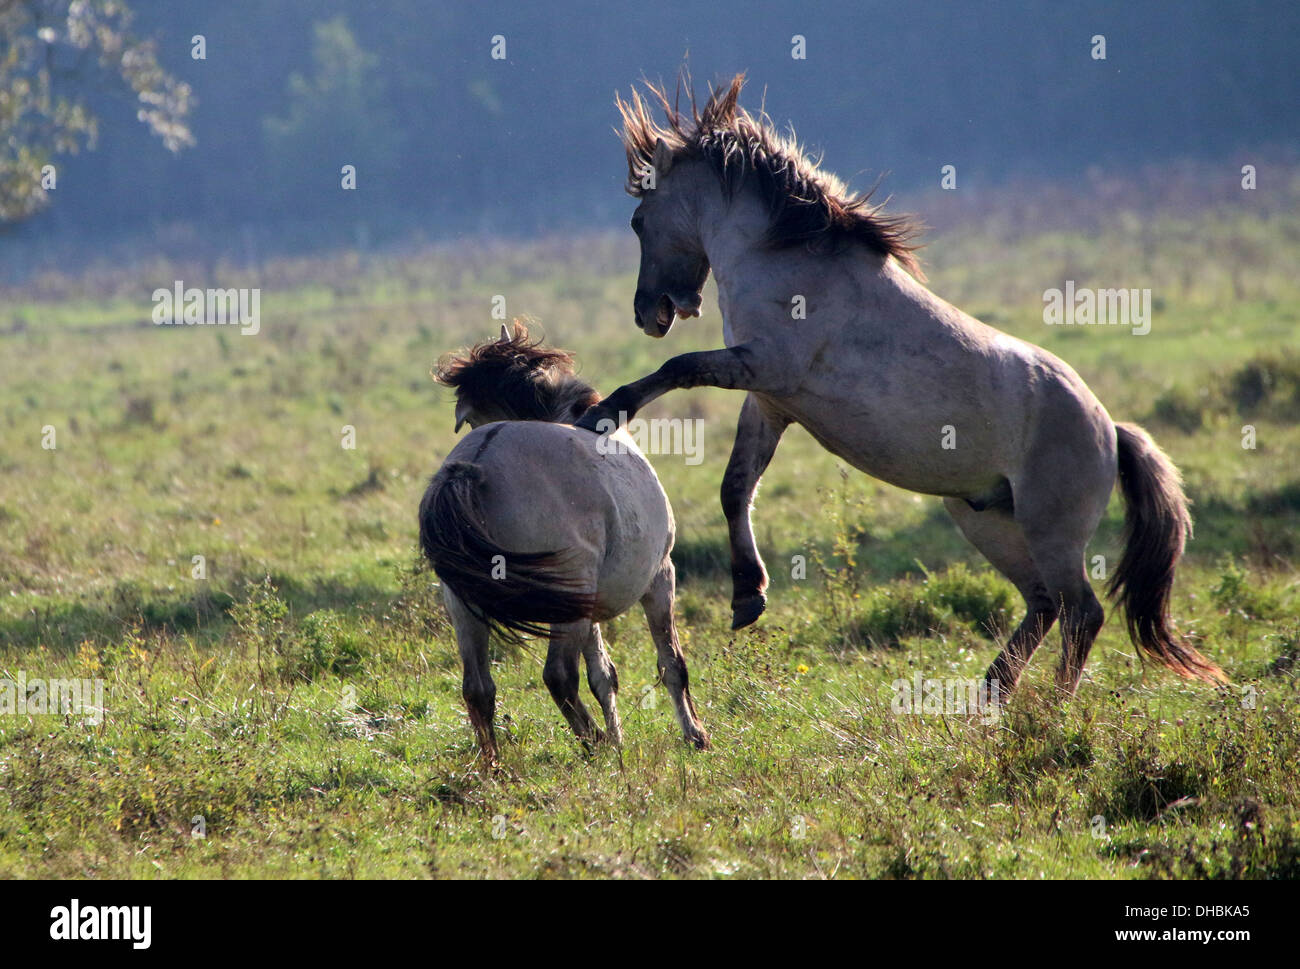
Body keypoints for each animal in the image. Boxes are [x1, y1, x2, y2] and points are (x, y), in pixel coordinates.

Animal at [419, 322, 710, 764]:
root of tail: (474, 466)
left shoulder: (589, 607)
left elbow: (604, 675)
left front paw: (621, 741)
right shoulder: (662, 575)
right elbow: (671, 663)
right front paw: (694, 735)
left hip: (466, 605)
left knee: (478, 688)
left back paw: (495, 768)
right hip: (571, 597)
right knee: (558, 676)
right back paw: (595, 745)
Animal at [575, 74, 1226, 701]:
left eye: (638, 221)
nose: (649, 313)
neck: (786, 255)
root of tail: (1110, 430)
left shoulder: (766, 368)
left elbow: (677, 368)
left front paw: (604, 414)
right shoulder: (770, 401)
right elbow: (735, 487)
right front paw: (748, 597)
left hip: (1050, 528)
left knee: (1080, 610)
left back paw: (1052, 708)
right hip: (986, 519)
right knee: (1043, 603)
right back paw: (992, 694)